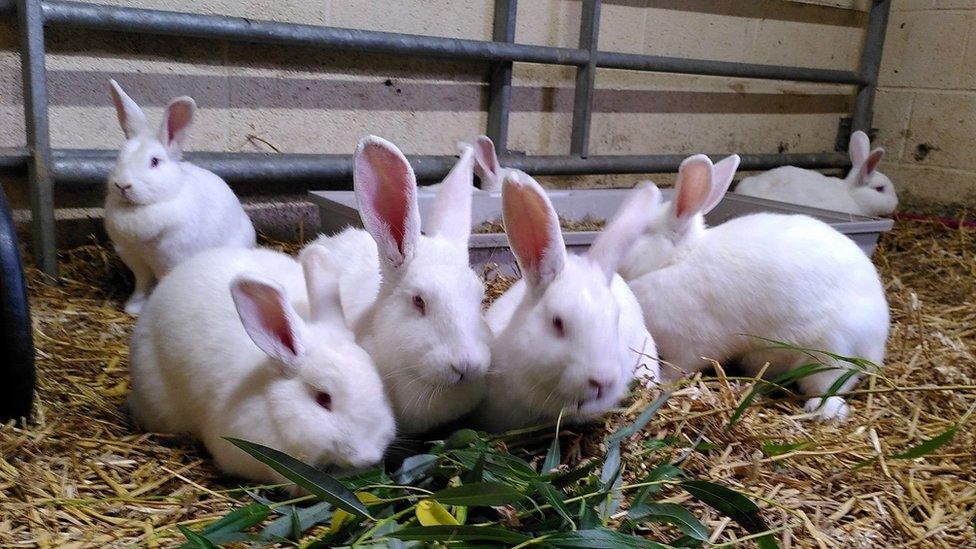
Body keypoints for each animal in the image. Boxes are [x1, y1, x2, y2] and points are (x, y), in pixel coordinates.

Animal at [104, 79, 255, 314]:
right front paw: (133, 308)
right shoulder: (135, 260)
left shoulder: (170, 260)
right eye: (119, 157)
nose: (122, 185)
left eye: (155, 161)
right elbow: (141, 284)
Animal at [620, 154, 888, 420]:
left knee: (831, 386)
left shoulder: (690, 345)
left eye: (640, 232)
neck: (675, 260)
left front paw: (663, 383)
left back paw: (820, 411)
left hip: (828, 351)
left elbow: (678, 368)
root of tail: (878, 340)